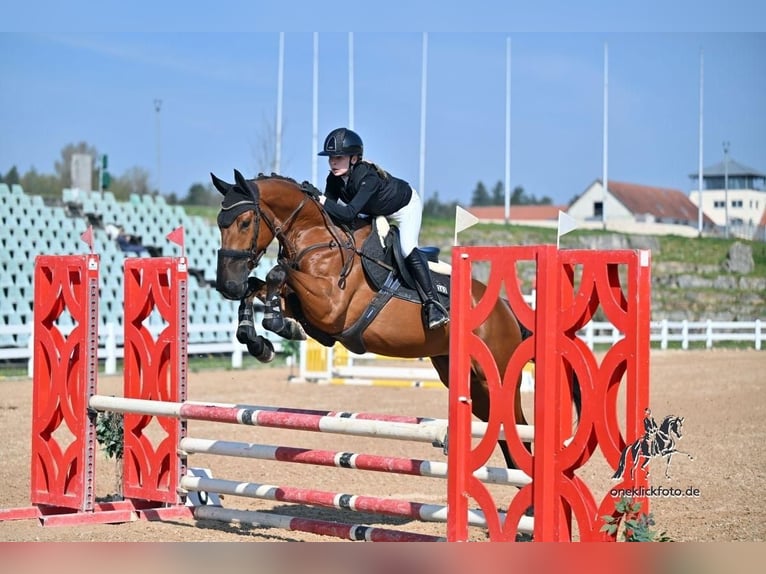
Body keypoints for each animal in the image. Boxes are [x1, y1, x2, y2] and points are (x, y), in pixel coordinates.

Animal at [210, 170, 533, 468]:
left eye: (244, 222)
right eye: (219, 223)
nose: (227, 285)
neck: (318, 239)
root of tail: (503, 308)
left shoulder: (331, 306)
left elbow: (276, 273)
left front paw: (278, 324)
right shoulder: (306, 304)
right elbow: (256, 286)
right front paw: (259, 341)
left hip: (495, 378)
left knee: (518, 426)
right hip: (467, 380)